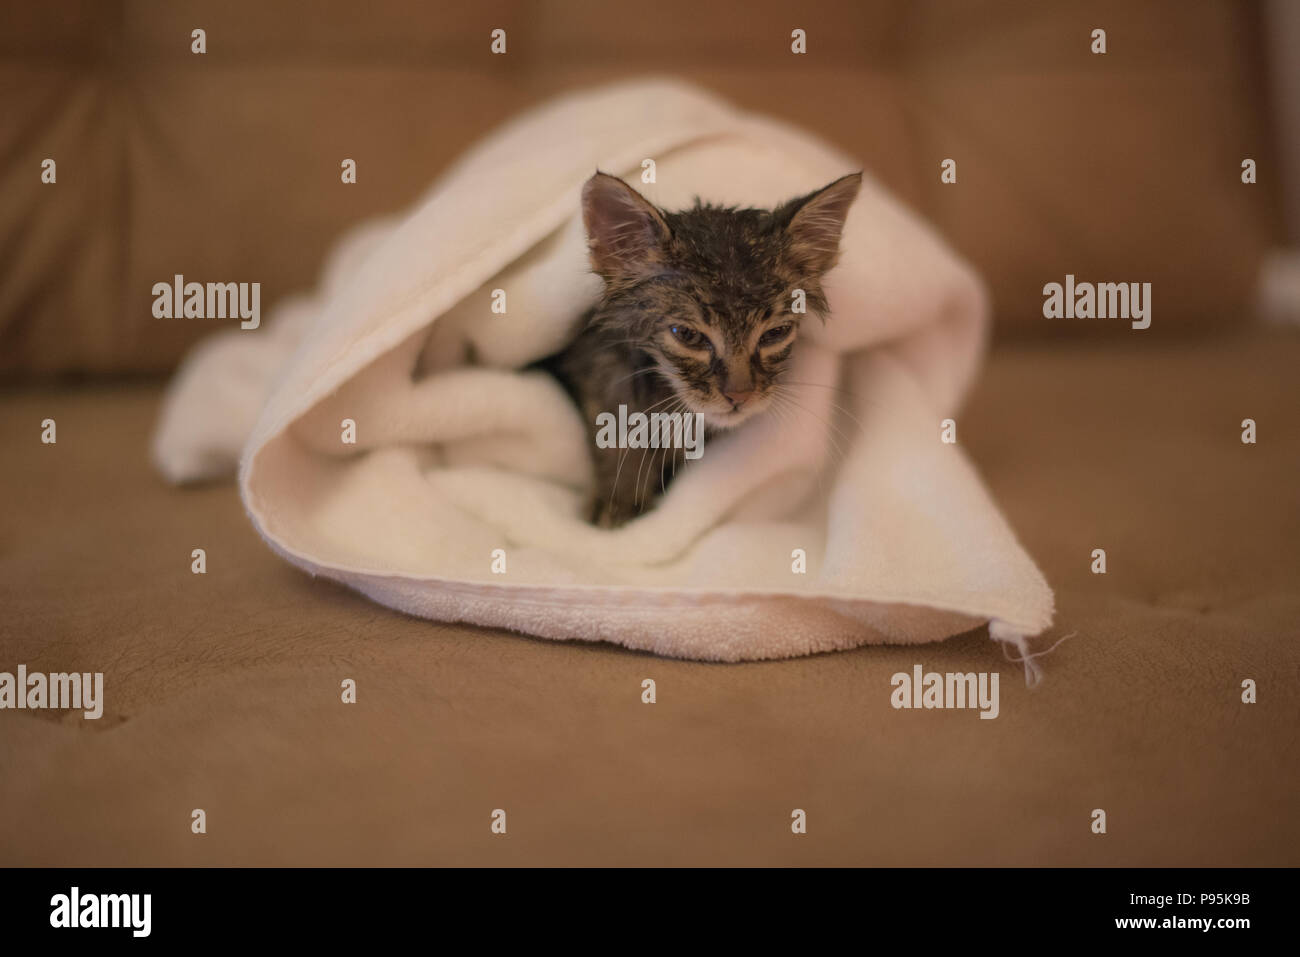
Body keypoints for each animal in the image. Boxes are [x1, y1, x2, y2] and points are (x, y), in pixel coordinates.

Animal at [540, 171, 857, 530]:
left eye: (776, 333)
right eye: (688, 335)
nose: (740, 396)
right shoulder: (599, 368)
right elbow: (614, 427)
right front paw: (619, 496)